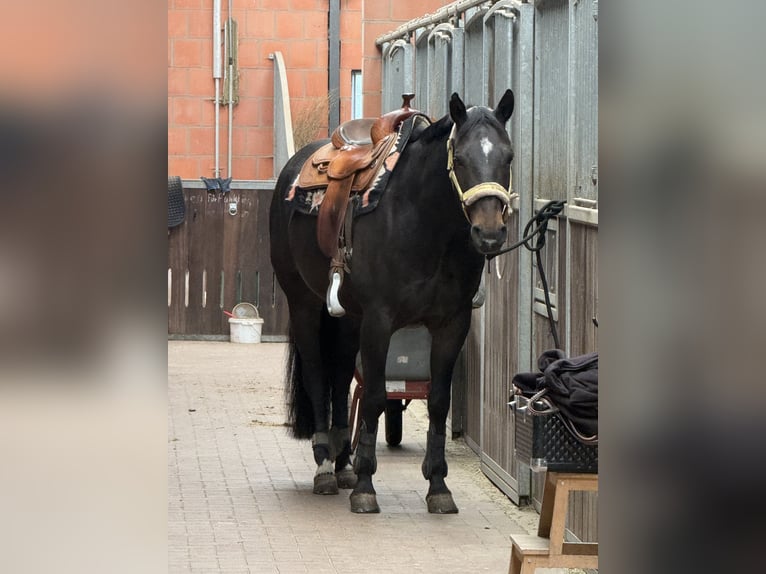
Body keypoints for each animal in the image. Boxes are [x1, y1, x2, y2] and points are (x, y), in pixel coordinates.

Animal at [269, 90, 515, 513]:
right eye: (461, 159)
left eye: (508, 157)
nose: (489, 233)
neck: (424, 223)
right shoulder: (380, 321)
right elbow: (375, 397)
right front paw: (366, 486)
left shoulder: (452, 324)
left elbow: (438, 401)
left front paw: (438, 486)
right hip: (304, 304)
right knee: (318, 374)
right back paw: (325, 466)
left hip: (348, 318)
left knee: (339, 375)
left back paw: (343, 462)